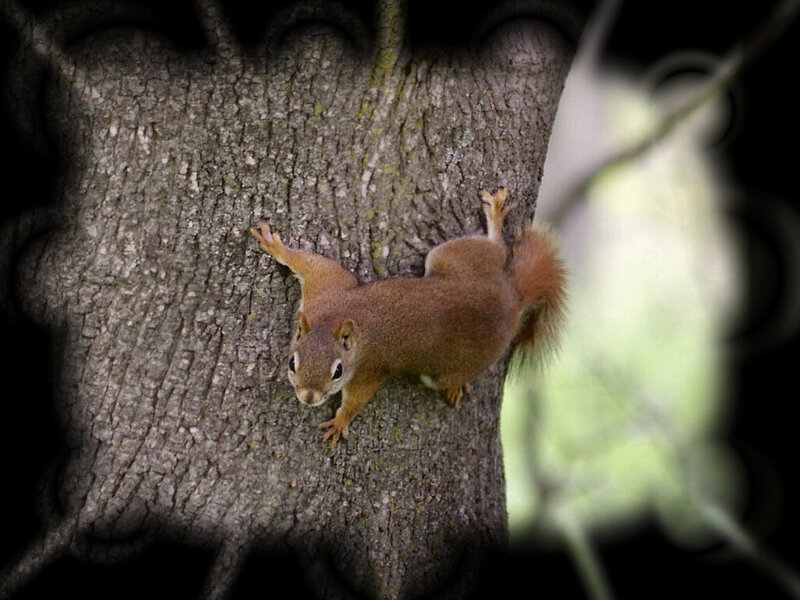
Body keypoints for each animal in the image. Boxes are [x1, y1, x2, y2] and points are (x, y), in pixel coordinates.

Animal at [250, 186, 566, 448]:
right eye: (292, 363)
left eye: (338, 371)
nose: (308, 398)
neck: (336, 317)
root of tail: (511, 301)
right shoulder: (325, 289)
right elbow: (309, 262)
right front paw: (275, 246)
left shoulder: (369, 368)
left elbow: (357, 399)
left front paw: (340, 422)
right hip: (459, 260)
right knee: (496, 252)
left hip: (451, 359)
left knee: (498, 248)